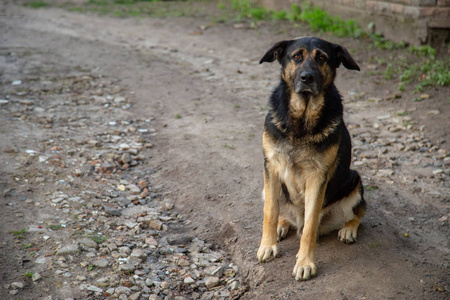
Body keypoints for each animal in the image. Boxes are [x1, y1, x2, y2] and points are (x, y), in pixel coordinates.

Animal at [256, 37, 366, 282]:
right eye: (296, 56)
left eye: (322, 58)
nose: (307, 77)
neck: (302, 118)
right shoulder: (271, 168)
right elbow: (270, 212)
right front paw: (268, 245)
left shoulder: (317, 178)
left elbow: (309, 227)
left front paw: (305, 263)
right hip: (267, 188)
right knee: (279, 209)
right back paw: (282, 224)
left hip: (355, 183)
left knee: (358, 213)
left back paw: (348, 229)